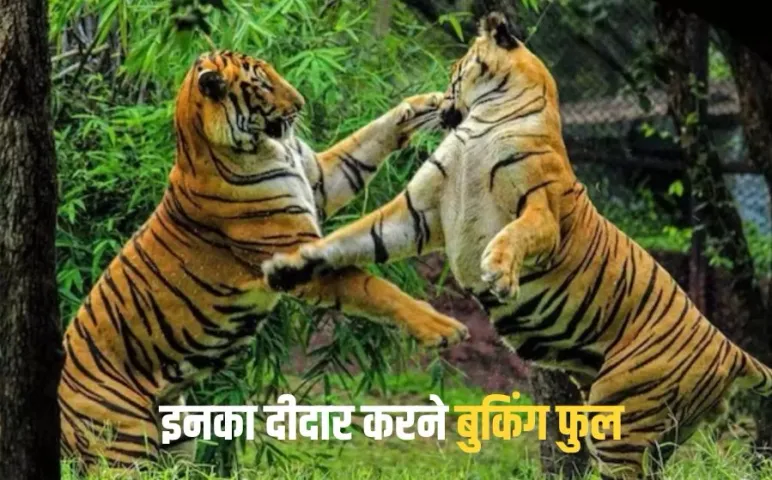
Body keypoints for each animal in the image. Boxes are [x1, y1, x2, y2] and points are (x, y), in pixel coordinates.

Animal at [57, 50, 470, 473]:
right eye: (262, 84)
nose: (302, 103)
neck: (268, 148)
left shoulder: (321, 180)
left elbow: (367, 139)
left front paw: (424, 104)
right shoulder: (295, 255)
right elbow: (374, 288)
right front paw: (442, 328)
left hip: (178, 442)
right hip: (123, 447)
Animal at [261, 13, 772, 479]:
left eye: (455, 70)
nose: (440, 100)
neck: (483, 120)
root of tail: (732, 349)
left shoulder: (540, 210)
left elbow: (514, 235)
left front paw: (499, 273)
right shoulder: (419, 212)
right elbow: (355, 237)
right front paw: (290, 262)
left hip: (623, 416)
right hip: (652, 427)